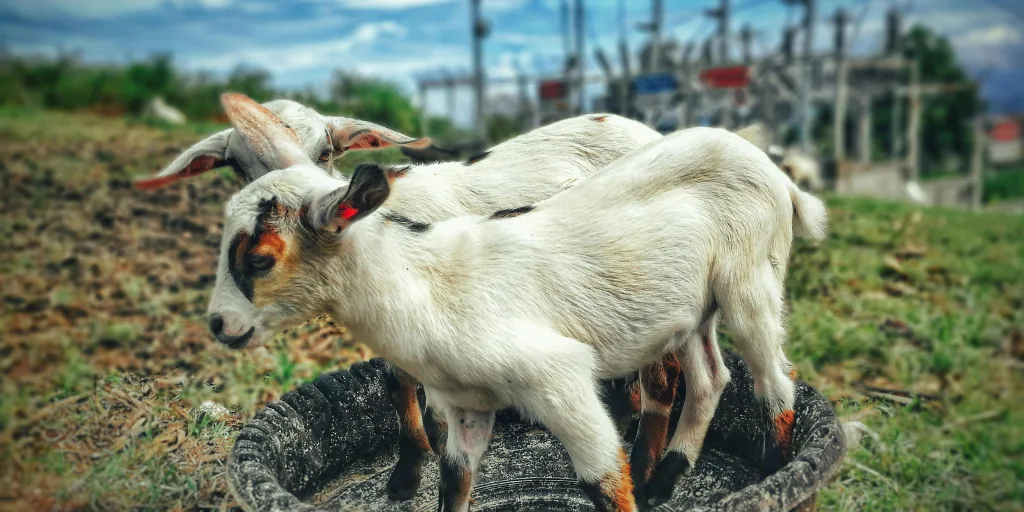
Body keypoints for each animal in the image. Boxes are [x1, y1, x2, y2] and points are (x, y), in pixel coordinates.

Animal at [205, 94, 828, 511]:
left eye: (259, 259)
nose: (219, 324)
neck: (424, 283)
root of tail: (773, 171)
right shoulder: (467, 406)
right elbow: (454, 483)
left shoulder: (560, 381)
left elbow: (603, 483)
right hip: (688, 309)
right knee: (709, 378)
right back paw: (664, 482)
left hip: (751, 282)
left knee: (774, 383)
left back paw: (770, 475)